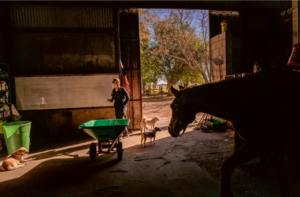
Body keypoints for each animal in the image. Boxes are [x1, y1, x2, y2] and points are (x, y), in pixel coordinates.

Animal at [169, 67, 300, 195]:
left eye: (172, 106)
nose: (170, 129)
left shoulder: (258, 145)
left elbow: (226, 166)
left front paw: (226, 193)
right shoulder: (274, 150)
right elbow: (281, 183)